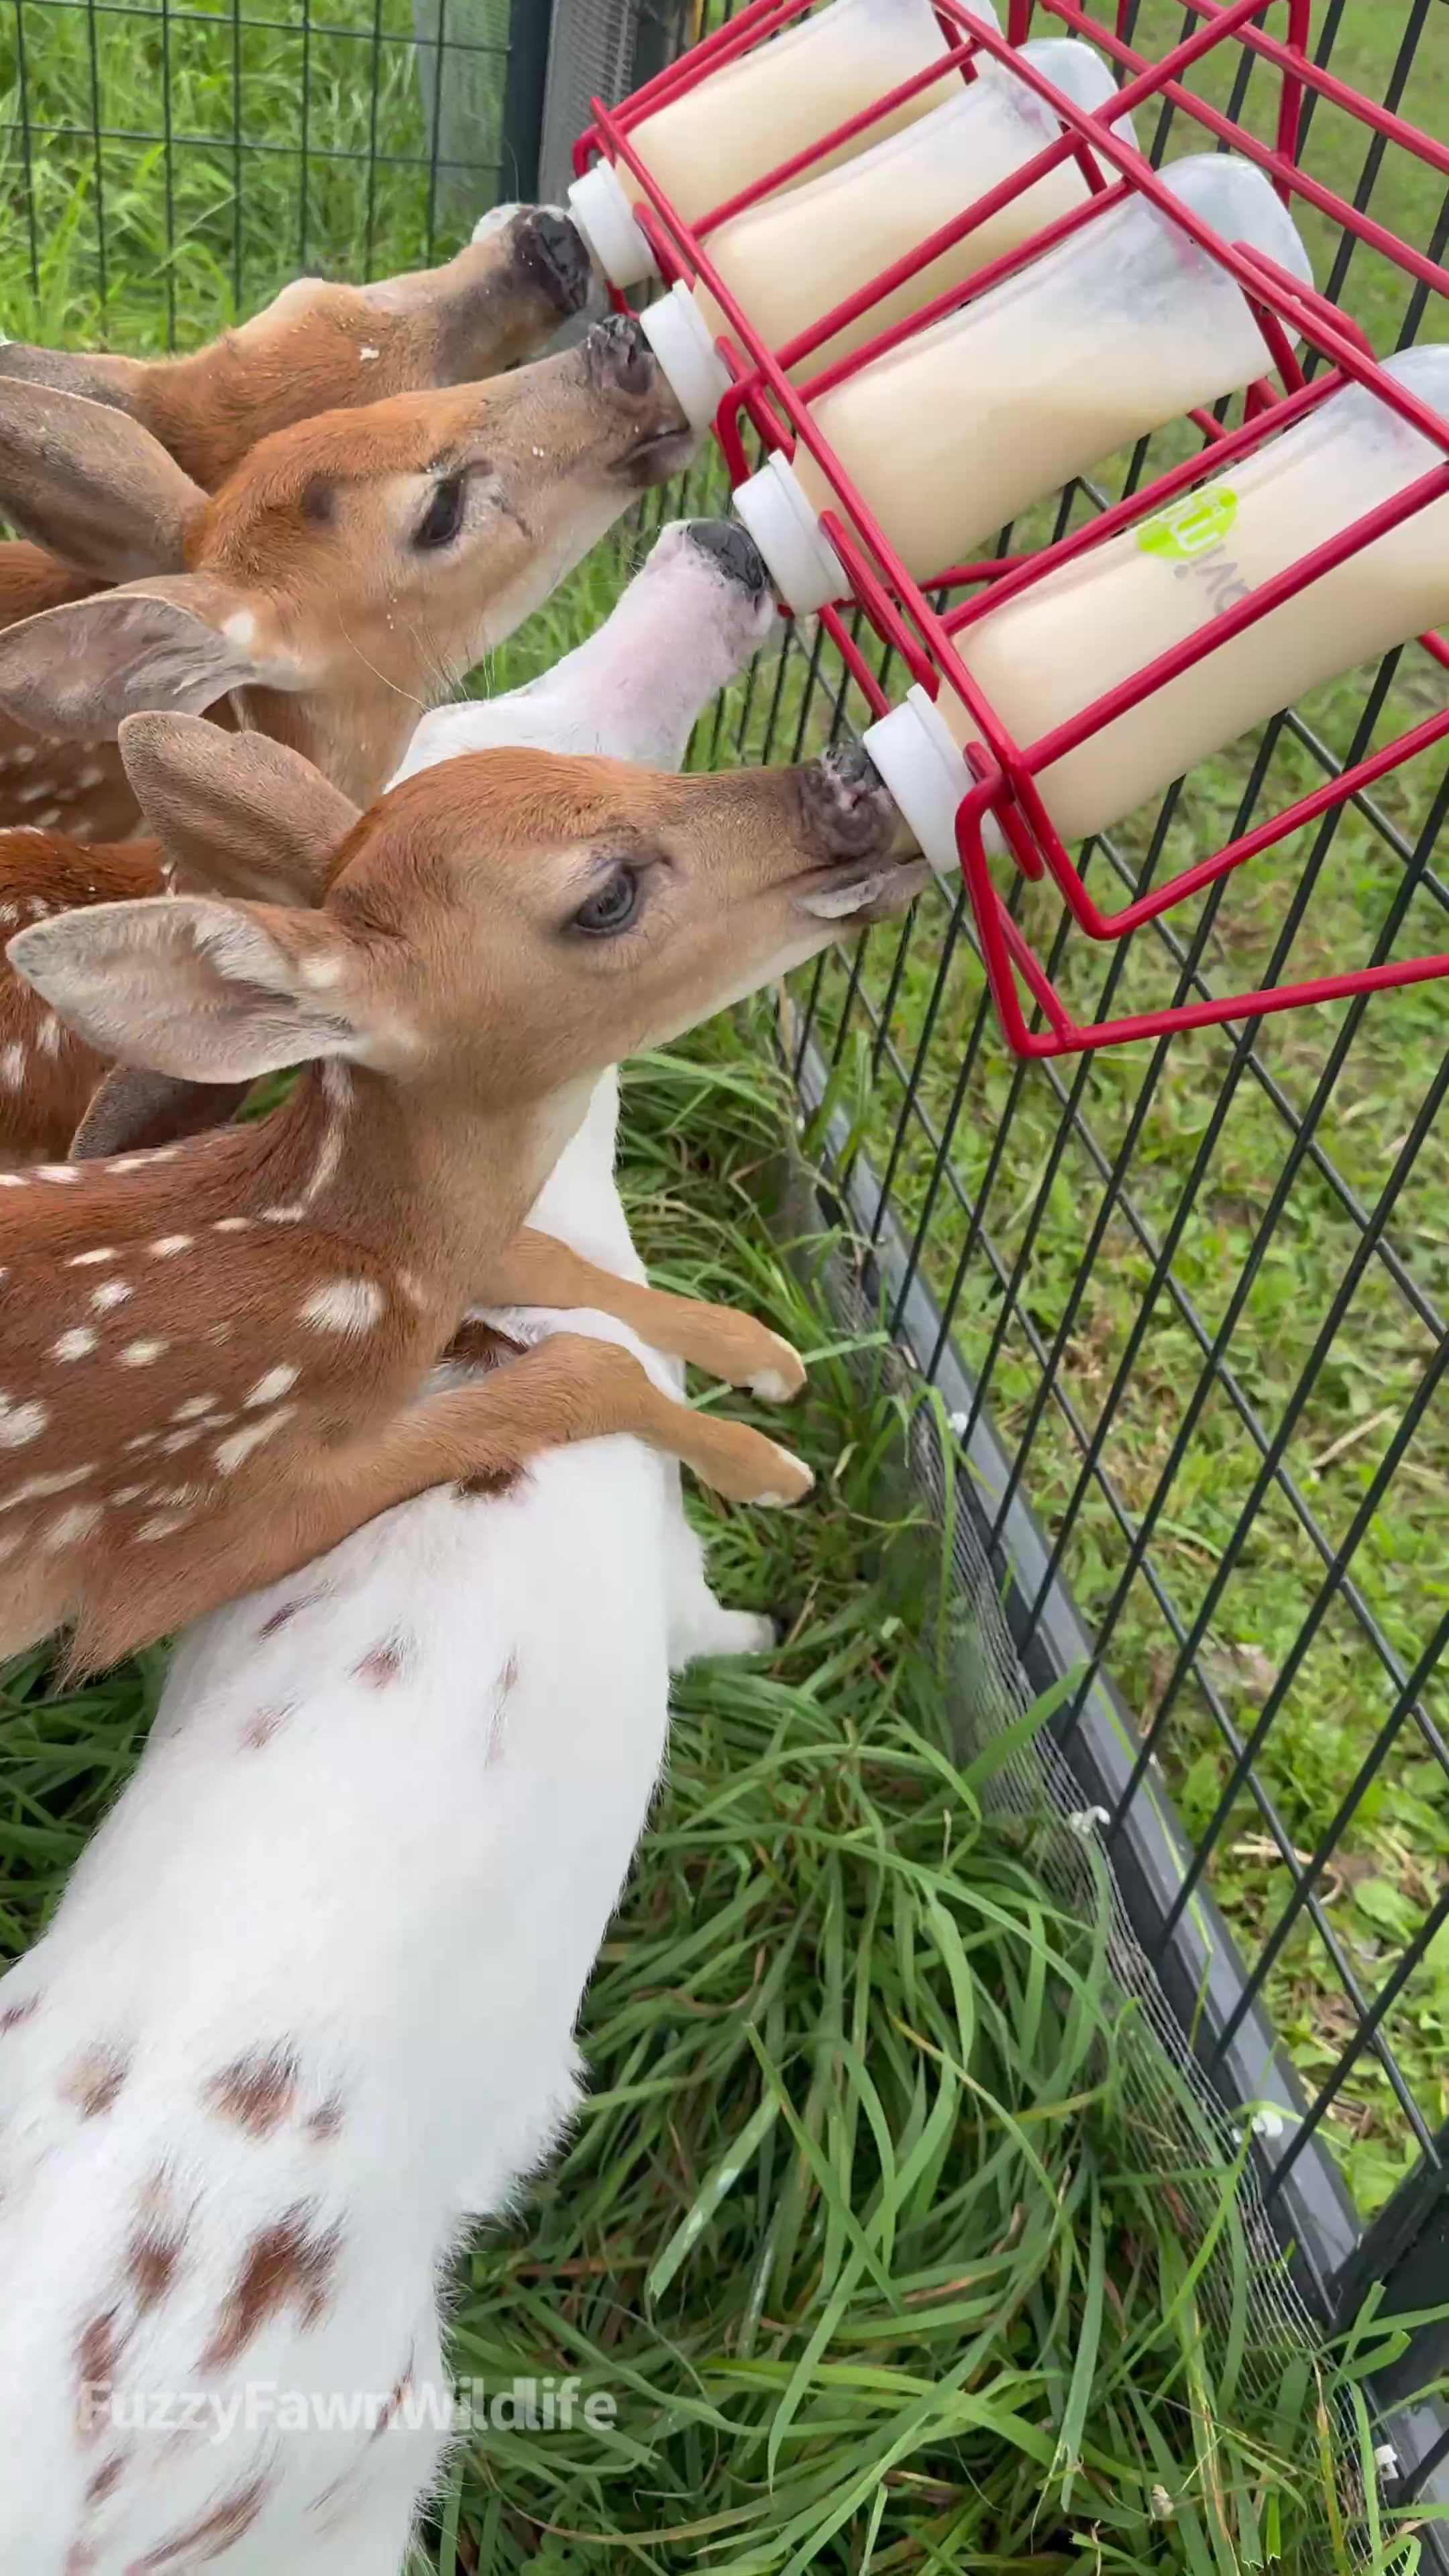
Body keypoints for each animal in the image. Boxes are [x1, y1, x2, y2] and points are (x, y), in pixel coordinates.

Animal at [0, 708, 922, 1681]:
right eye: (607, 897)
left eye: (624, 764)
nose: (855, 780)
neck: (343, 1271)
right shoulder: (196, 1524)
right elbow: (583, 1365)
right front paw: (774, 1469)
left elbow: (542, 1255)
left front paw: (768, 1357)